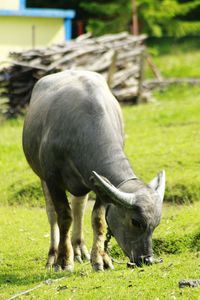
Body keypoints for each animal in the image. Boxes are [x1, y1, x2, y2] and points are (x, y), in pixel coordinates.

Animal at [22, 70, 165, 272]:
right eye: (136, 222)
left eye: (156, 224)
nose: (147, 259)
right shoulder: (53, 179)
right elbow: (64, 217)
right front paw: (63, 260)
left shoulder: (102, 187)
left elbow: (98, 219)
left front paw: (100, 259)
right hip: (42, 177)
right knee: (52, 214)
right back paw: (52, 256)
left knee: (79, 207)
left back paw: (79, 250)